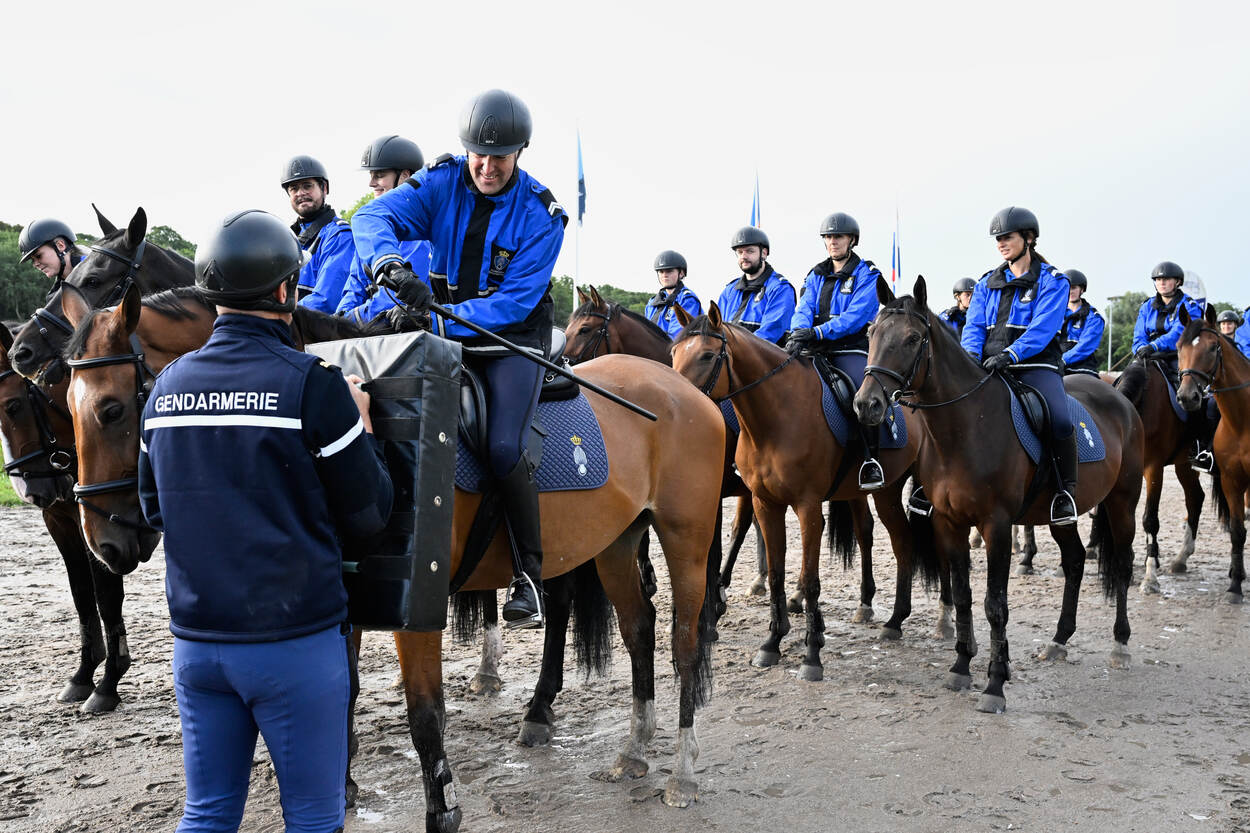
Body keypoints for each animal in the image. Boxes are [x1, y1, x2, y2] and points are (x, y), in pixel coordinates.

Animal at [0, 325, 130, 715]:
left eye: (13, 406)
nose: (28, 488)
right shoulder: (60, 522)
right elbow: (81, 594)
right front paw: (84, 673)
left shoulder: (101, 527)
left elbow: (106, 597)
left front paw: (108, 682)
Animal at [60, 285, 725, 825]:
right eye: (64, 408)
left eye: (111, 409)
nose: (104, 543)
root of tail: (681, 387)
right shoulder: (346, 597)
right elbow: (341, 690)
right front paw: (342, 787)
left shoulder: (416, 606)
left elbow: (424, 712)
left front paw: (440, 807)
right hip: (616, 542)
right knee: (639, 629)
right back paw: (632, 750)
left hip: (686, 539)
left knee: (684, 642)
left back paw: (682, 772)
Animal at [670, 301, 935, 680]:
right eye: (674, 352)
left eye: (707, 355)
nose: (675, 398)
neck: (777, 417)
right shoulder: (765, 503)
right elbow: (776, 572)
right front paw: (772, 642)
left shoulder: (807, 508)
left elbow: (809, 579)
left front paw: (811, 655)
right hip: (865, 491)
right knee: (868, 532)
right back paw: (870, 605)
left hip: (895, 491)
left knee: (904, 542)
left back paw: (904, 620)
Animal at [850, 275, 1145, 710]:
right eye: (871, 333)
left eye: (912, 338)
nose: (866, 404)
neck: (966, 427)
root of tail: (1120, 398)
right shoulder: (949, 523)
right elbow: (962, 594)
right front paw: (960, 667)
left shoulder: (997, 525)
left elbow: (995, 605)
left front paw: (994, 684)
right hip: (1061, 513)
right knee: (1074, 561)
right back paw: (1059, 640)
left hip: (1122, 501)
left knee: (1122, 565)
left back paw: (1121, 644)